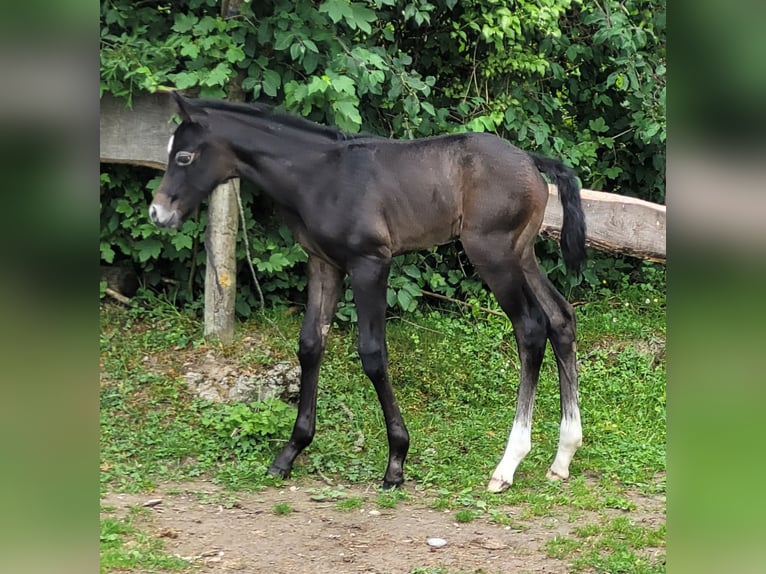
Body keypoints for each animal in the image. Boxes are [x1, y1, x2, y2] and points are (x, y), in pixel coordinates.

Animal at [149, 91, 587, 493]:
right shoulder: (323, 263)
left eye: (184, 157)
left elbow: (373, 354)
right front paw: (290, 452)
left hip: (492, 254)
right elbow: (310, 345)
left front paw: (396, 461)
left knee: (530, 329)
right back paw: (563, 456)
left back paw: (507, 465)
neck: (320, 176)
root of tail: (530, 160)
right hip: (521, 254)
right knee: (560, 318)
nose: (158, 213)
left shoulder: (370, 263)